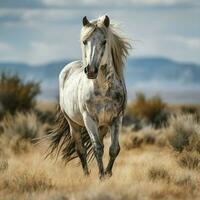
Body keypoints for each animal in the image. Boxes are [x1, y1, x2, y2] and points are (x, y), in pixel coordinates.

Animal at [47, 14, 131, 179]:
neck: (103, 91)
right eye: (85, 41)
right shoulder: (89, 119)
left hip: (102, 126)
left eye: (104, 41)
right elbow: (97, 148)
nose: (91, 70)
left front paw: (108, 173)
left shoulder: (116, 118)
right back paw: (86, 175)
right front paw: (101, 176)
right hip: (73, 123)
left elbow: (114, 148)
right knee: (81, 149)